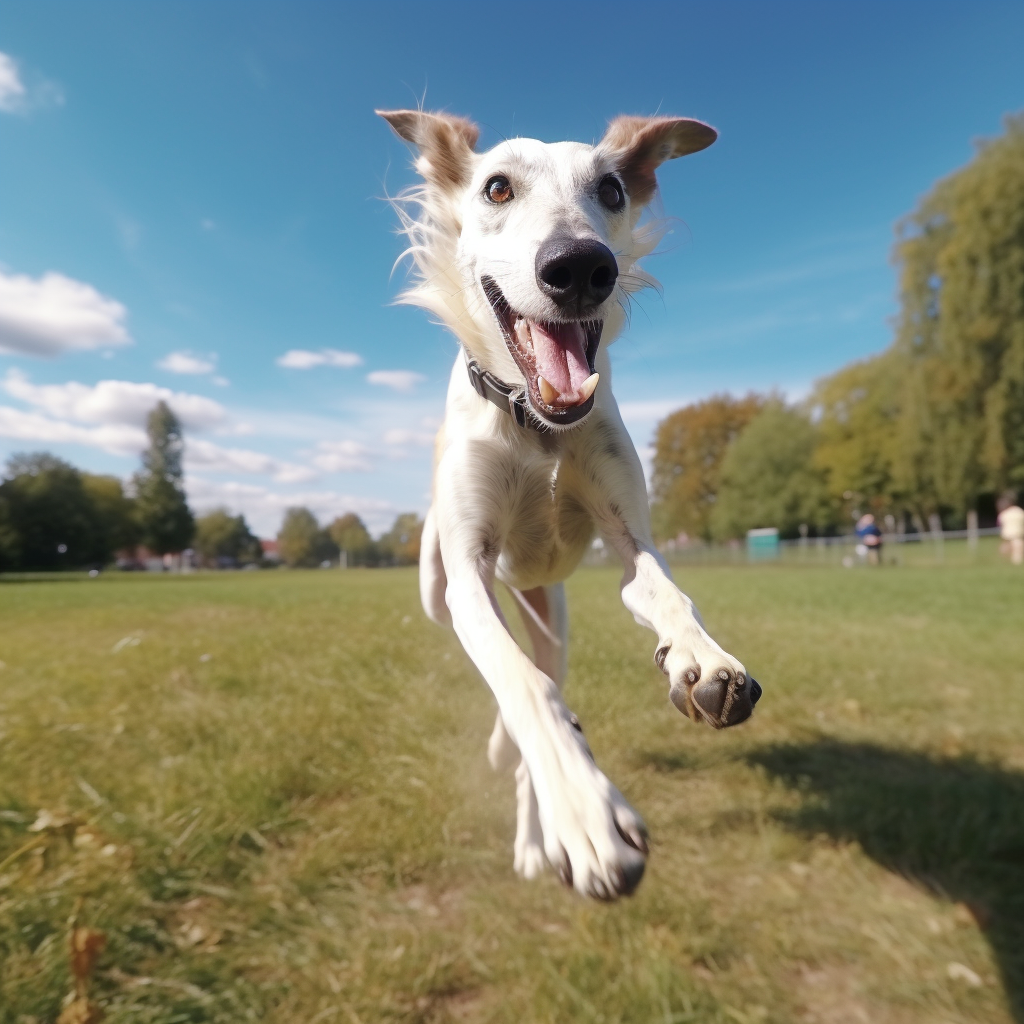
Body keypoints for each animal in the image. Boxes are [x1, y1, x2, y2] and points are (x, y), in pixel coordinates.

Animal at [378, 108, 761, 901]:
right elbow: (520, 688)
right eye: (496, 187)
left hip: (553, 621)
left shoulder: (628, 534)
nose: (581, 265)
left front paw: (704, 661)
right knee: (513, 678)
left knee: (543, 679)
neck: (537, 426)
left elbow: (663, 593)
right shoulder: (467, 575)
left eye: (611, 189)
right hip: (451, 592)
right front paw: (587, 815)